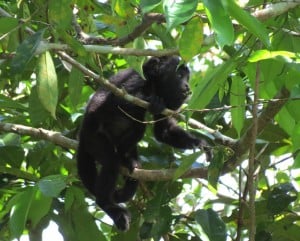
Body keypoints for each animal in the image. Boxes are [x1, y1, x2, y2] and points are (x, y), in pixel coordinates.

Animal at [76, 55, 210, 231]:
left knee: (137, 128)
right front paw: (151, 101)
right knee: (112, 159)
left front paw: (200, 143)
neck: (154, 85)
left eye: (187, 77)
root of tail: (82, 133)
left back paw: (128, 159)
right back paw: (107, 203)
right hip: (93, 138)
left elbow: (164, 131)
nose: (187, 87)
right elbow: (117, 100)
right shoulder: (136, 79)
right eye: (179, 75)